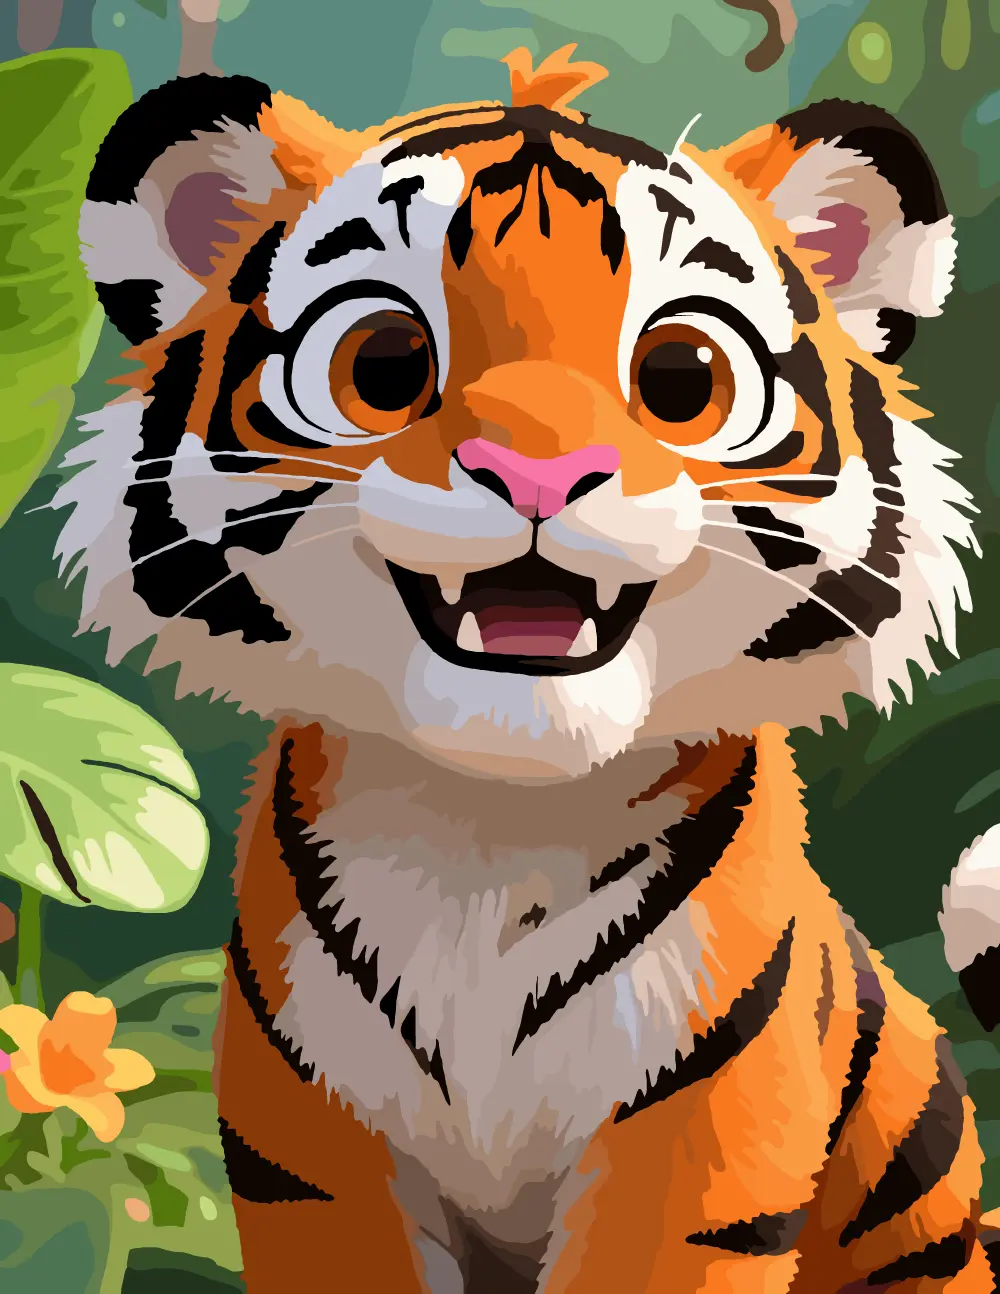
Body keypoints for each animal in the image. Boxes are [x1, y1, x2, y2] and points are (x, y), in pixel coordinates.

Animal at [51, 42, 996, 1294]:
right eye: (386, 363)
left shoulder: (699, 1137)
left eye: (681, 376)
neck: (489, 834)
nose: (539, 474)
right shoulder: (314, 1139)